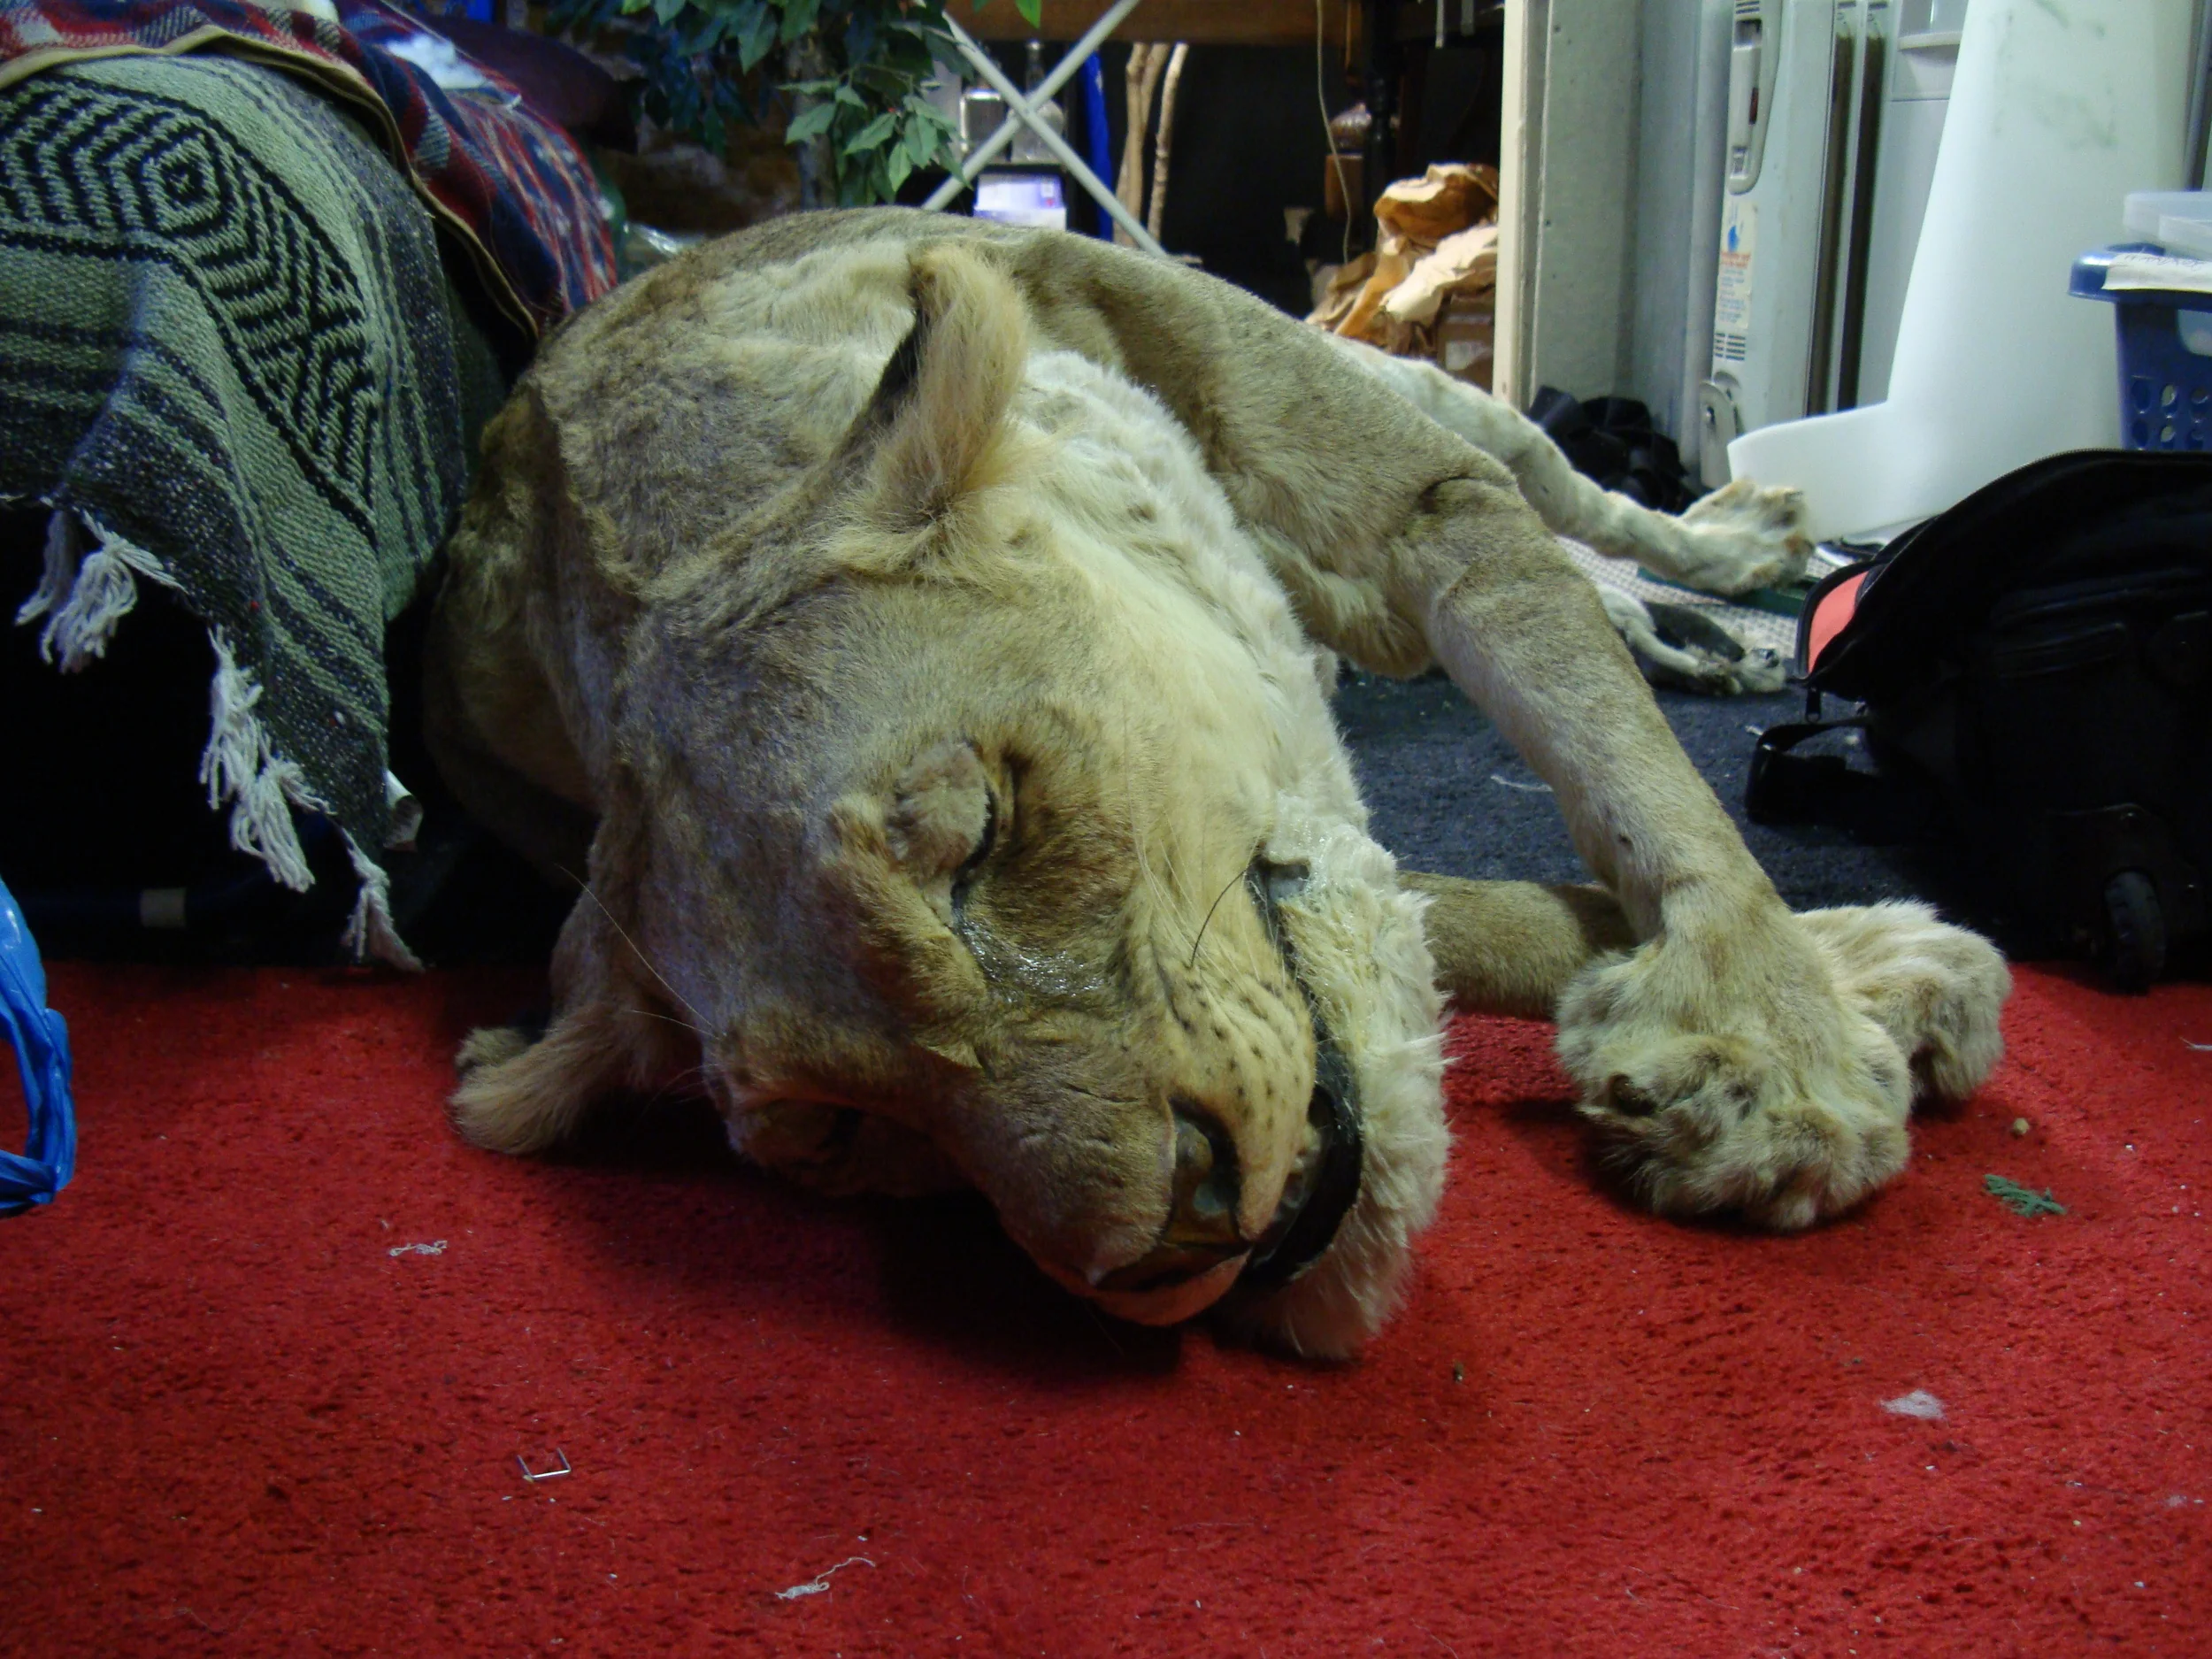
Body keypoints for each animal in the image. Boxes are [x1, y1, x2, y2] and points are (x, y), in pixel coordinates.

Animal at [424, 208, 2009, 1358]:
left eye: (980, 838)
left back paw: (1738, 558)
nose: (1171, 1235)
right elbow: (1470, 909)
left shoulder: (1425, 506)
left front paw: (1783, 1052)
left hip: (1431, 397)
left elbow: (1639, 777)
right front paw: (1866, 971)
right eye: (837, 1130)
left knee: (1582, 507)